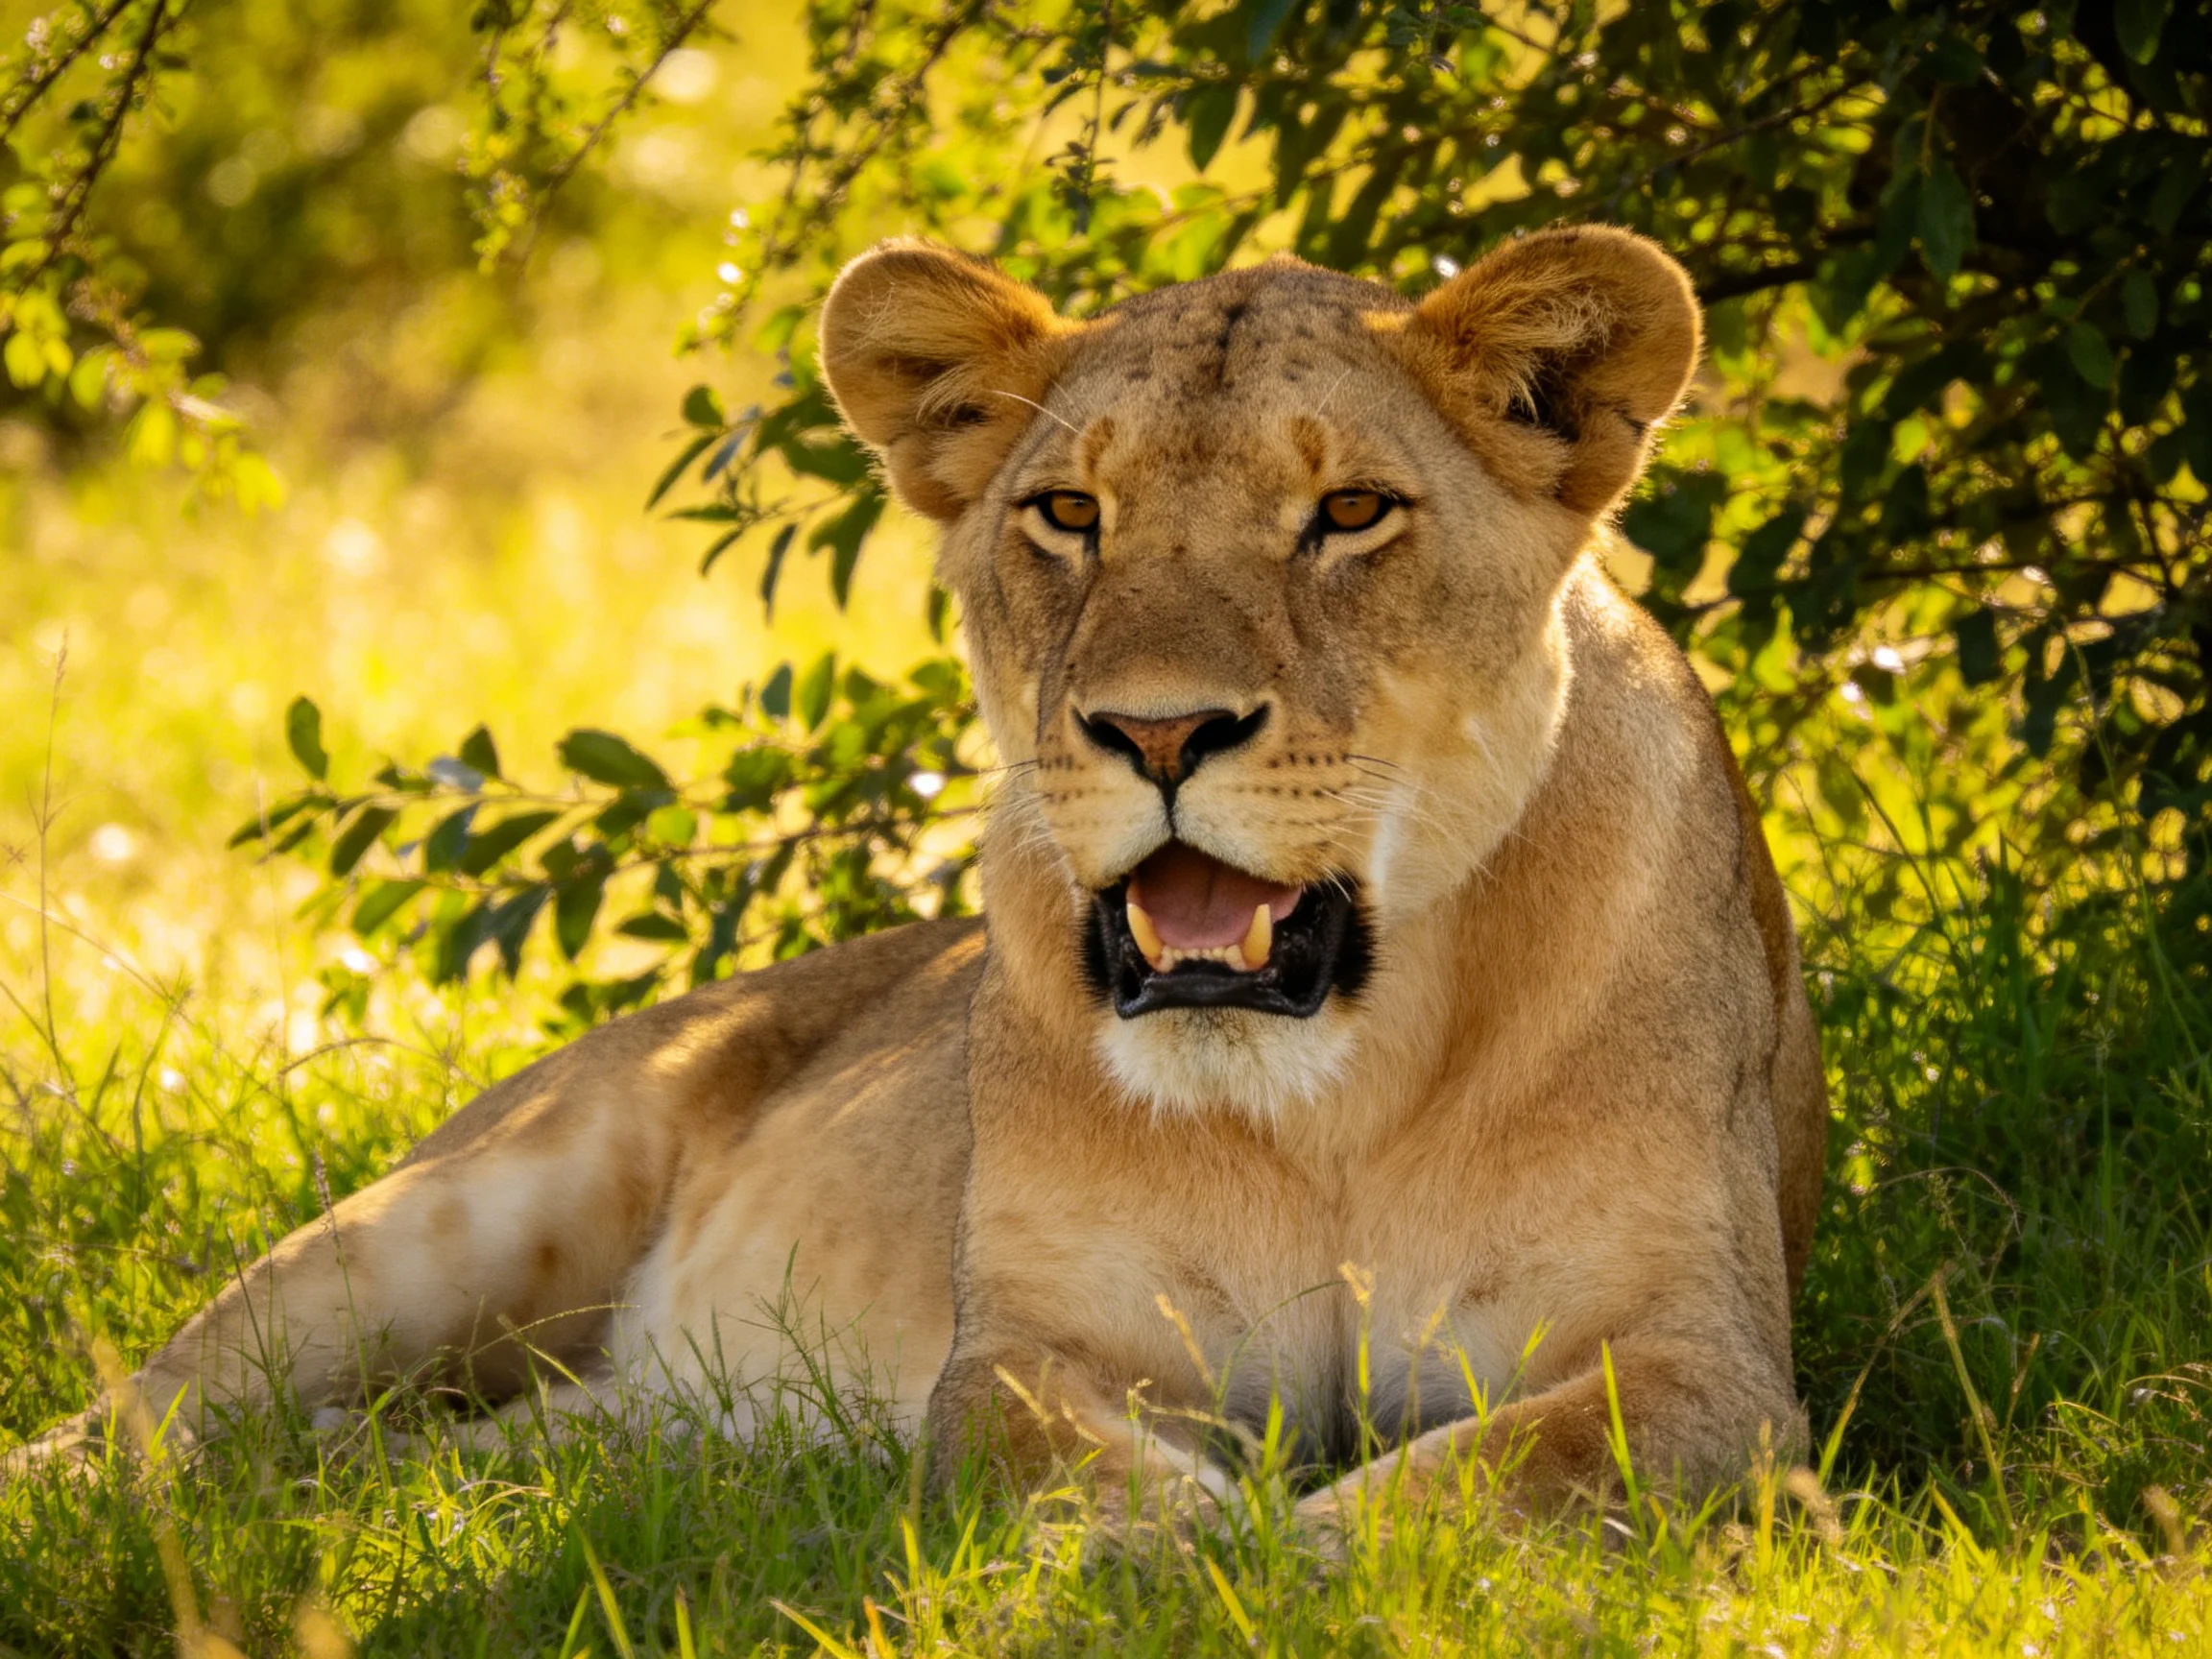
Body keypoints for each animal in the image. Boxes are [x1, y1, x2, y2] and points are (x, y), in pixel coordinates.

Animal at [17, 226, 1826, 1540]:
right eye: (1068, 510)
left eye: (1353, 511)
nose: (1155, 730)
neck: (1331, 1095)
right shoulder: (1029, 1344)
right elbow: (1047, 1457)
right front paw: (1179, 1560)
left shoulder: (1711, 1361)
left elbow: (1513, 1468)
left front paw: (1310, 1556)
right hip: (461, 1212)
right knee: (153, 1408)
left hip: (615, 1415)